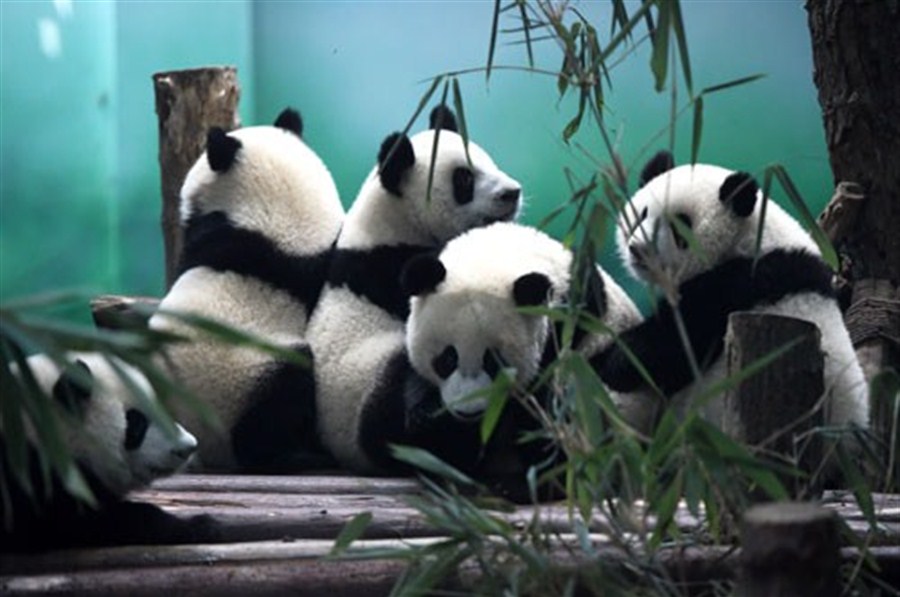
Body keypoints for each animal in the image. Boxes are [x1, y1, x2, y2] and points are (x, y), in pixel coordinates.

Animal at [400, 222, 652, 494]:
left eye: (494, 362)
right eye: (447, 359)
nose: (469, 411)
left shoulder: (569, 325)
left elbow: (542, 411)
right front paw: (432, 420)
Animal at [596, 151, 872, 436]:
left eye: (679, 225)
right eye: (642, 214)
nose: (638, 249)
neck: (748, 237)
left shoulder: (743, 281)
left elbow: (677, 341)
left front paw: (614, 361)